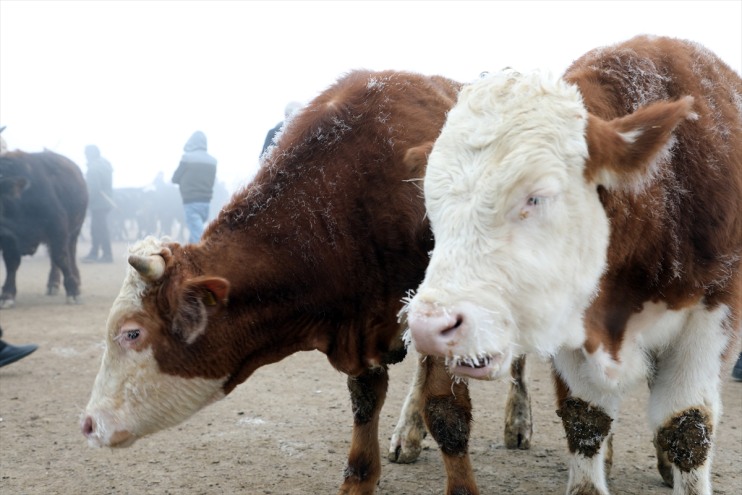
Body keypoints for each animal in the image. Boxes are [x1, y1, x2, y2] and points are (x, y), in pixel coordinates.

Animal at [0, 149, 88, 308]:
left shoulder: (58, 227)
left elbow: (62, 258)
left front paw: (73, 291)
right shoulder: (8, 238)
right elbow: (11, 262)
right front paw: (7, 295)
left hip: (74, 230)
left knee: (70, 252)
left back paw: (75, 279)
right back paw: (53, 283)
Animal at [80, 70, 536, 495]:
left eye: (132, 333)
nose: (87, 423)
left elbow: (445, 410)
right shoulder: (364, 322)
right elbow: (366, 399)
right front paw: (358, 479)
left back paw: (517, 422)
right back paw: (407, 435)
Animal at [406, 35, 742, 495]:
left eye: (535, 196)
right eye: (431, 203)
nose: (428, 326)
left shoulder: (715, 313)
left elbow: (687, 426)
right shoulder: (570, 317)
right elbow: (587, 418)